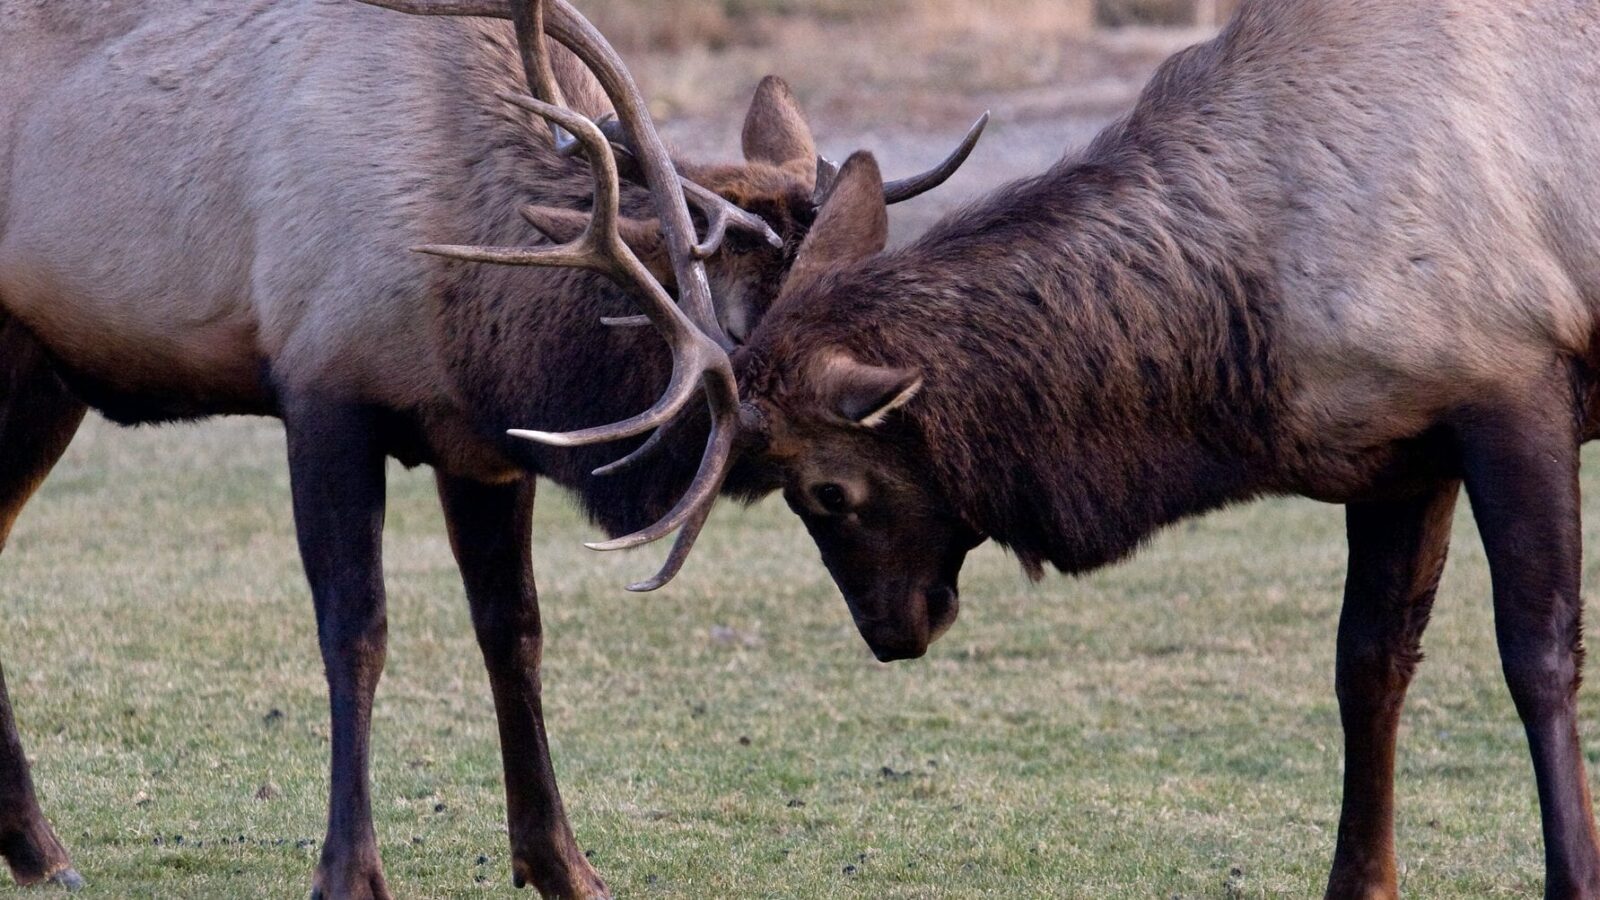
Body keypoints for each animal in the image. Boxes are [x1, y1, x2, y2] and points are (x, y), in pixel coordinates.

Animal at [0, 1, 979, 896]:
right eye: (823, 480)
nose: (919, 615)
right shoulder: (322, 392)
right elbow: (356, 630)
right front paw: (348, 873)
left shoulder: (483, 445)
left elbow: (515, 632)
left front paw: (563, 866)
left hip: (44, 386)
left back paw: (39, 850)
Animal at [492, 0, 1600, 890]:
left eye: (826, 493)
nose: (891, 632)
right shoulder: (1396, 443)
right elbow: (1369, 665)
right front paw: (1360, 881)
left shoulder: (1512, 383)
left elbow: (1538, 658)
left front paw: (1572, 873)